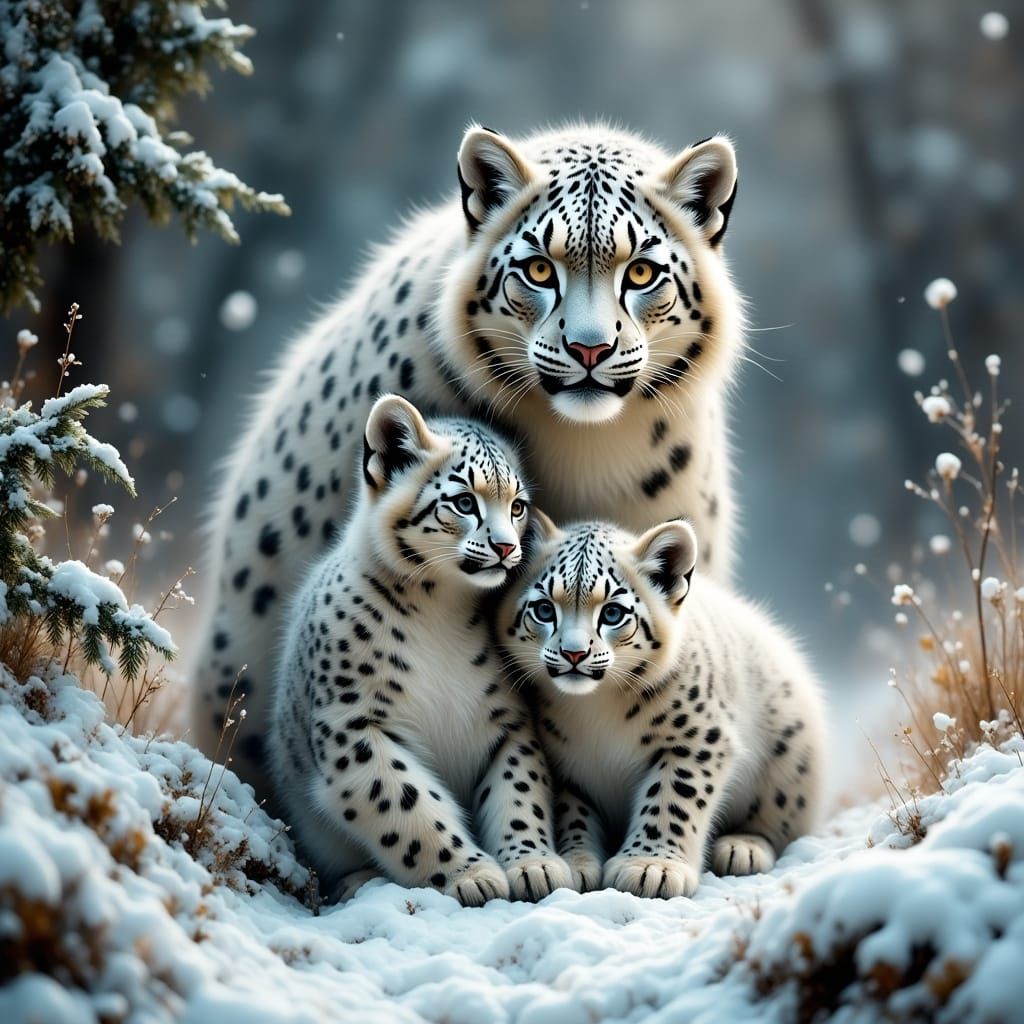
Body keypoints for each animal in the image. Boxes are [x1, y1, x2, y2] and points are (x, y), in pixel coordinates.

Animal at [268, 394, 573, 904]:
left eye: (517, 506)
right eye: (465, 500)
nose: (506, 548)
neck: (441, 610)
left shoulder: (506, 722)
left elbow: (519, 792)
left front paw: (534, 864)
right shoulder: (355, 725)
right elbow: (409, 806)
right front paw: (472, 875)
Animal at [499, 514, 827, 899]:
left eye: (612, 613)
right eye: (544, 609)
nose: (574, 653)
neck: (596, 710)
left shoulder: (696, 741)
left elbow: (671, 799)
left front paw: (649, 867)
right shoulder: (568, 767)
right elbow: (574, 813)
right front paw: (577, 861)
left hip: (787, 766)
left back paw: (741, 847)